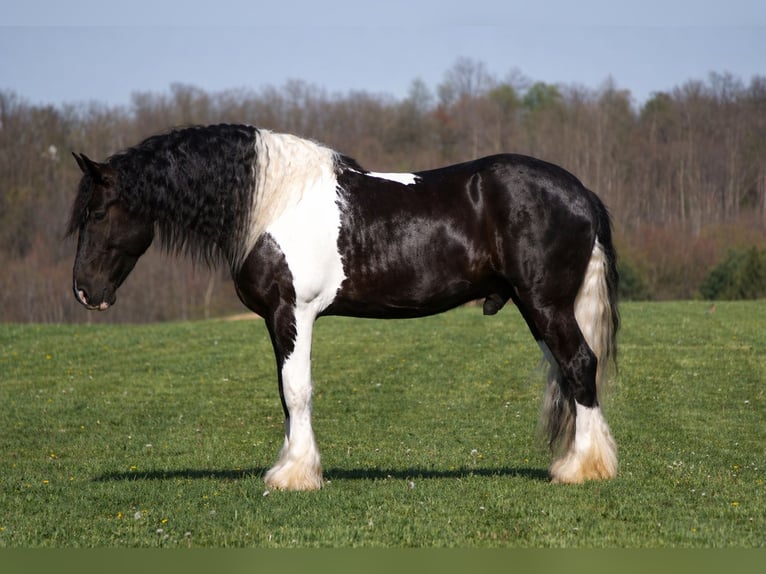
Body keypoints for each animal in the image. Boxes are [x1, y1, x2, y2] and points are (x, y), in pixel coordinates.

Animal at [67, 124, 619, 490]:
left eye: (97, 212)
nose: (85, 293)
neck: (274, 202)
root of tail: (581, 193)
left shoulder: (293, 314)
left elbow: (296, 391)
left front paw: (294, 475)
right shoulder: (278, 320)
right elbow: (284, 394)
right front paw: (292, 466)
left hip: (546, 304)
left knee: (579, 365)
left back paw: (584, 469)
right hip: (538, 309)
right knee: (569, 372)